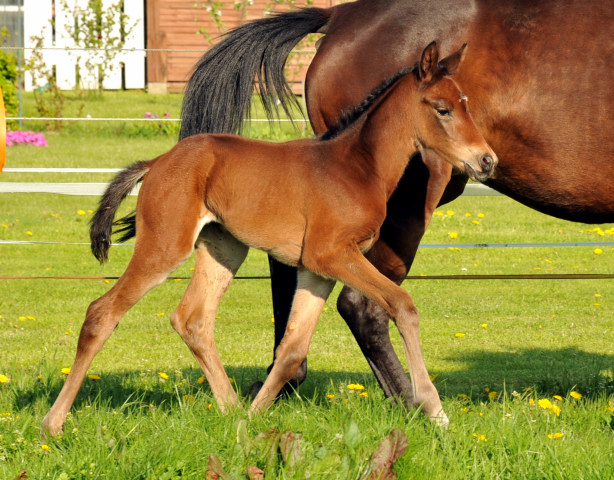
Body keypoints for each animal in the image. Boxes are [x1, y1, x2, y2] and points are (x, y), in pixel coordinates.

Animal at [41, 43, 498, 436]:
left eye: (466, 104)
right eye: (442, 109)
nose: (486, 160)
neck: (357, 167)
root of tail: (157, 163)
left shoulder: (317, 269)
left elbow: (292, 349)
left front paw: (253, 420)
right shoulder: (333, 254)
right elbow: (402, 305)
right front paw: (435, 410)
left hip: (225, 249)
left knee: (193, 319)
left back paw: (231, 410)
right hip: (165, 246)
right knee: (102, 313)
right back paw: (53, 423)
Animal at [180, 0, 614, 404]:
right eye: (443, 109)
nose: (488, 161)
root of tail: (340, 15)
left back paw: (280, 381)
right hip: (406, 206)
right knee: (362, 304)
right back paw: (414, 403)